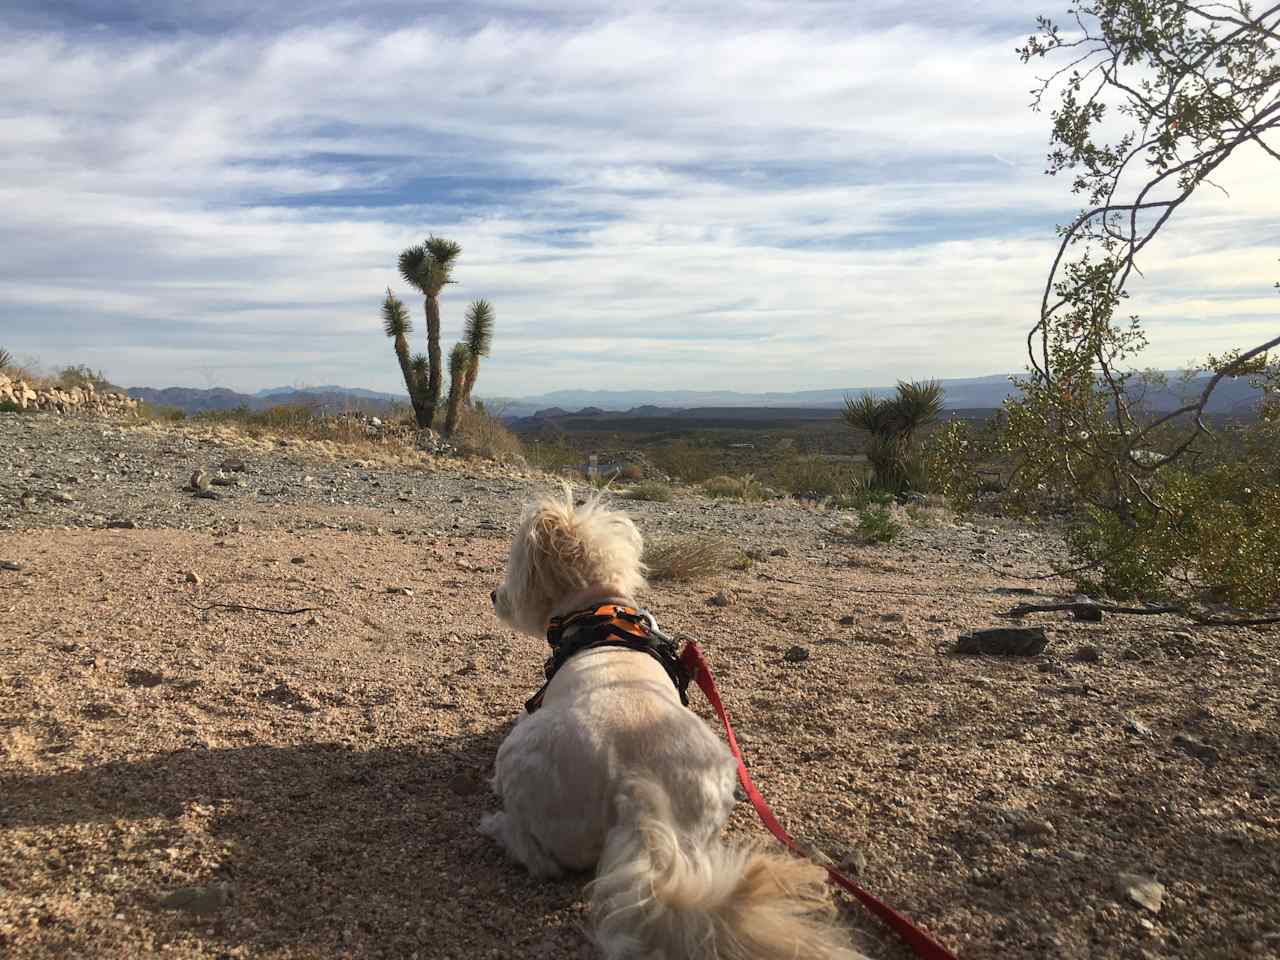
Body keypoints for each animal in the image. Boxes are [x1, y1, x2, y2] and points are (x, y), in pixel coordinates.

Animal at [481, 491, 870, 957]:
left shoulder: (534, 704)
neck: (598, 611)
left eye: (514, 570)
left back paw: (497, 826)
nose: (493, 595)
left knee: (540, 859)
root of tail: (636, 785)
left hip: (523, 768)